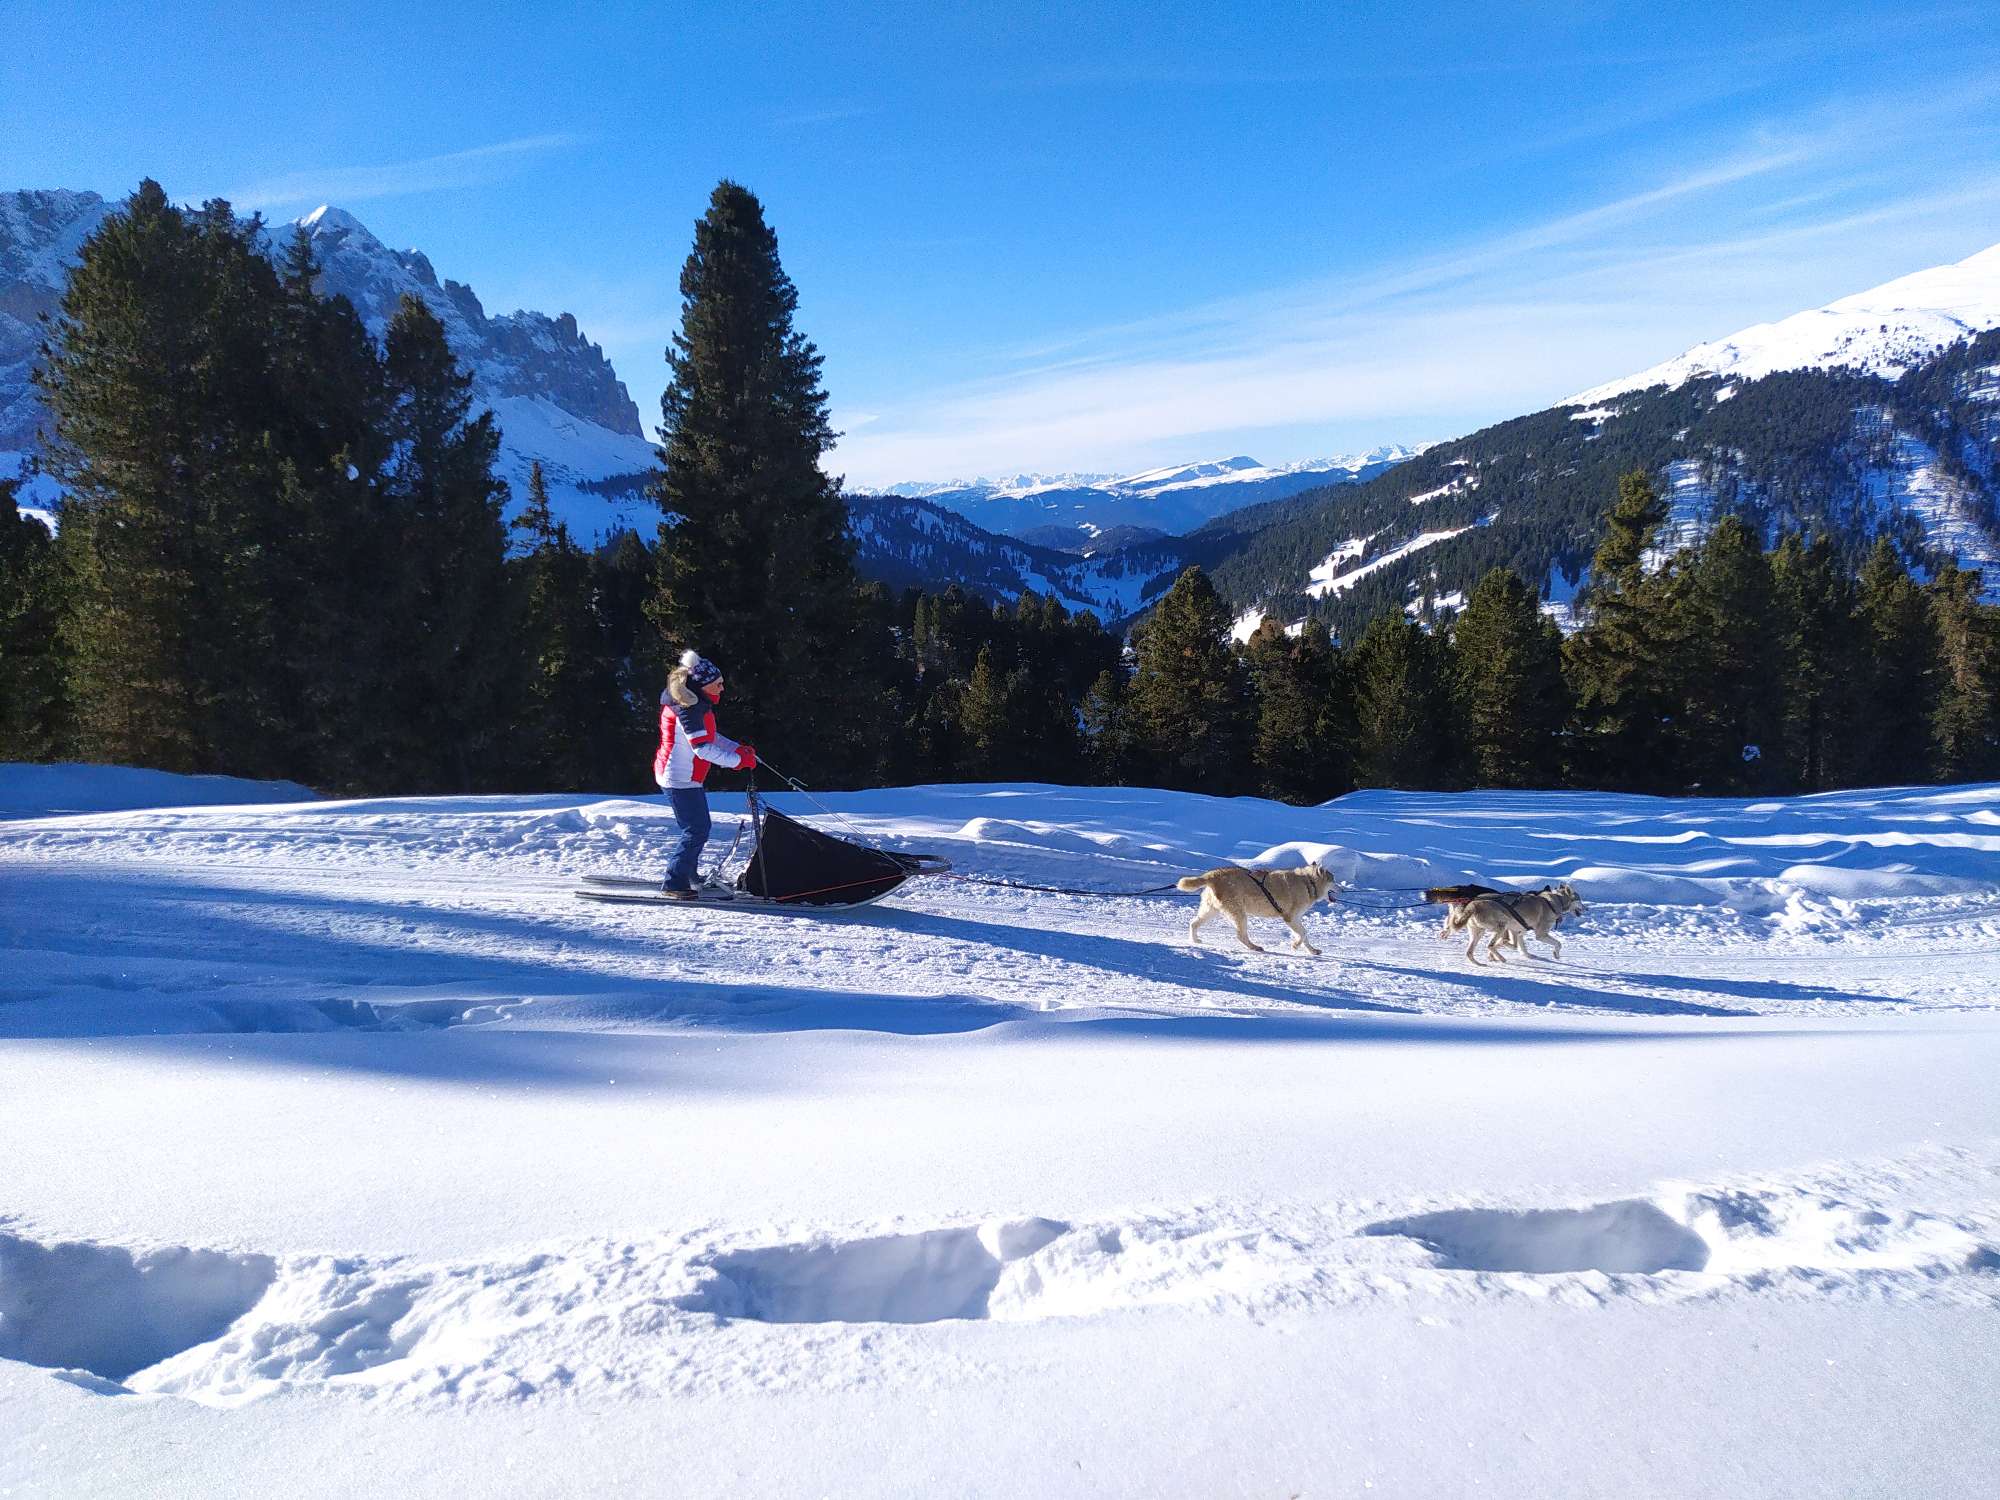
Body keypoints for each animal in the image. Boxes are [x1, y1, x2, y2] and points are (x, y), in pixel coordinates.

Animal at [1168, 864, 1344, 956]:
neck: (1308, 883)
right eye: (1334, 880)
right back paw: (1255, 947)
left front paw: (1312, 950)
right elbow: (1303, 934)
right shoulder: (1290, 918)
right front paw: (1295, 946)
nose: (1343, 889)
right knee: (1240, 935)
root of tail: (1214, 874)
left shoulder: (1296, 919)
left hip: (1210, 911)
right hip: (1239, 914)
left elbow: (1304, 935)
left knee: (1193, 923)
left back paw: (1194, 940)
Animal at [1448, 888, 1584, 968]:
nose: (1586, 908)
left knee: (1470, 952)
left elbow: (1519, 947)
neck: (1553, 902)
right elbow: (1558, 944)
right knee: (1490, 945)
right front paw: (1556, 954)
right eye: (1579, 899)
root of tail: (1473, 905)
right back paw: (1501, 958)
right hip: (1501, 925)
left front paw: (1529, 956)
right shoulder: (1540, 935)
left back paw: (1480, 963)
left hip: (1479, 932)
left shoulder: (1518, 932)